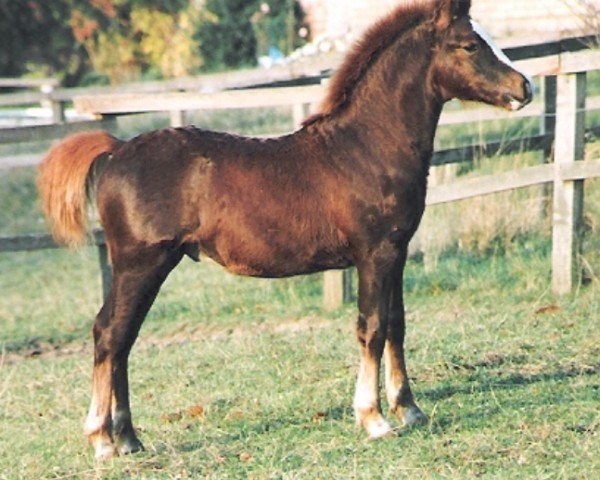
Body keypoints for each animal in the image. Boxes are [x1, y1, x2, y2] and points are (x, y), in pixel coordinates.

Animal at [39, 0, 532, 458]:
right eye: (469, 45)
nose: (523, 86)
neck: (365, 146)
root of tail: (116, 150)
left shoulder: (398, 252)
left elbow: (397, 323)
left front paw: (408, 409)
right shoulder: (375, 254)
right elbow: (371, 327)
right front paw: (373, 418)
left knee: (123, 339)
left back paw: (128, 438)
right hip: (140, 264)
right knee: (110, 334)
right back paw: (104, 439)